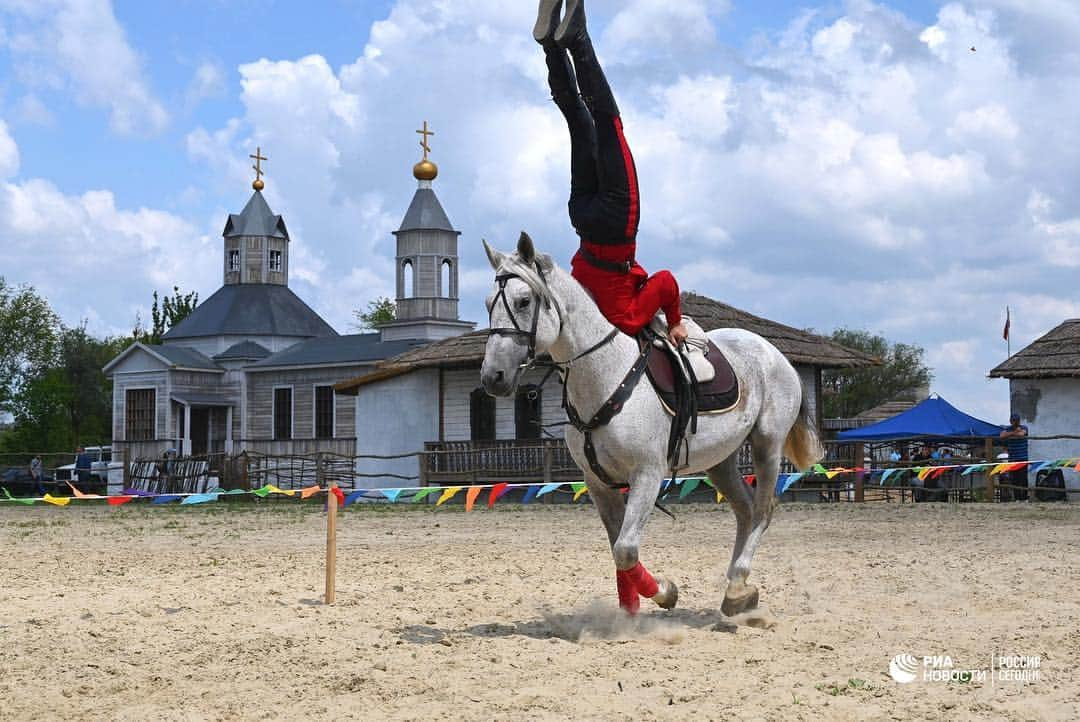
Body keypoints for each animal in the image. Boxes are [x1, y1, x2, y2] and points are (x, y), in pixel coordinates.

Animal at [481, 234, 816, 617]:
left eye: (523, 301)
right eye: (488, 303)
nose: (493, 377)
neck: (604, 374)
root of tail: (775, 354)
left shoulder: (647, 474)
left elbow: (625, 550)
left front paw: (666, 593)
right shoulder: (598, 483)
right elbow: (617, 548)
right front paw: (629, 610)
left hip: (767, 446)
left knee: (762, 510)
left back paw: (737, 586)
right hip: (721, 461)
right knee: (745, 511)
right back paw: (737, 589)